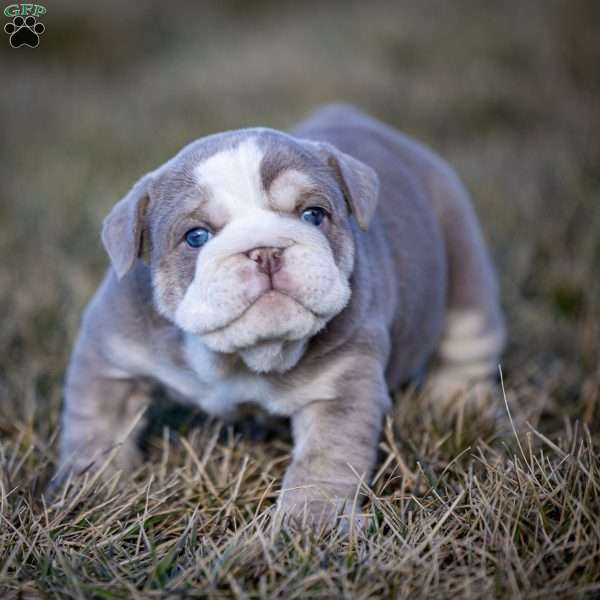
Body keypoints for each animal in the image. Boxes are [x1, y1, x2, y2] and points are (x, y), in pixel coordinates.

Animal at [56, 103, 506, 524]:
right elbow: (96, 427)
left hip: (463, 258)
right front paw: (89, 492)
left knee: (469, 343)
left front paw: (309, 524)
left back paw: (455, 402)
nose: (266, 251)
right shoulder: (110, 354)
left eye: (313, 215)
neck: (239, 357)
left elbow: (324, 464)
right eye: (196, 236)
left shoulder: (339, 389)